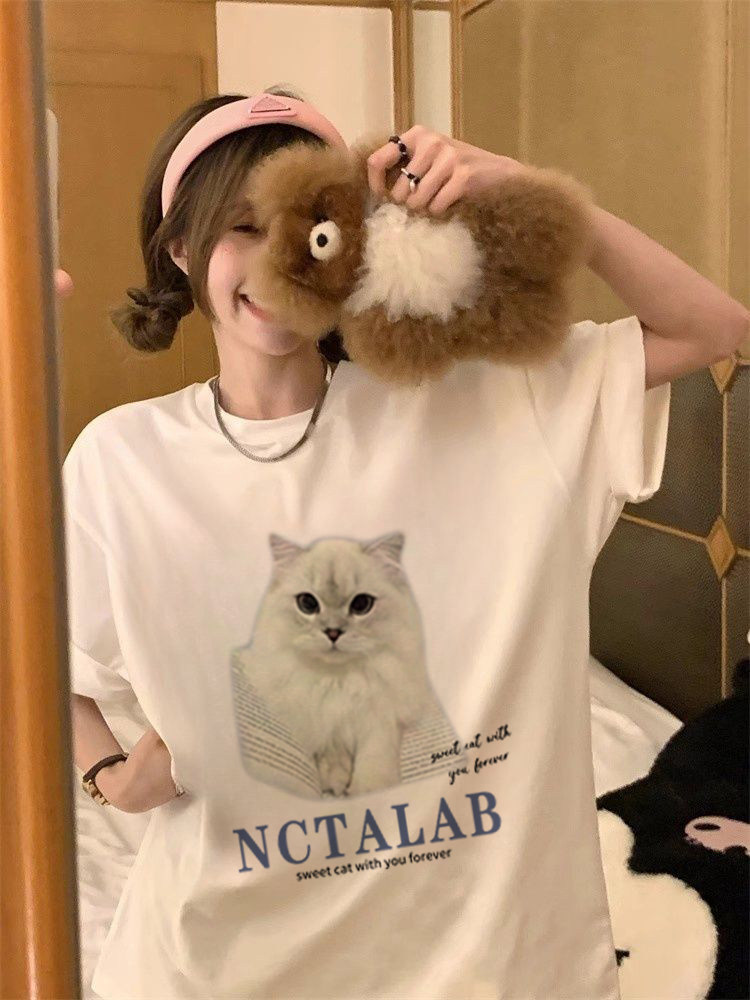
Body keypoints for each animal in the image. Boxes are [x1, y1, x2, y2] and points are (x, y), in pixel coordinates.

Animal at [238, 531, 433, 797]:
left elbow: (375, 754)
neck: (338, 679)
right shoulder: (317, 713)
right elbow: (332, 746)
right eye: (307, 603)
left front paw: (370, 791)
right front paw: (337, 785)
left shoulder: (383, 712)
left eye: (361, 604)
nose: (333, 632)